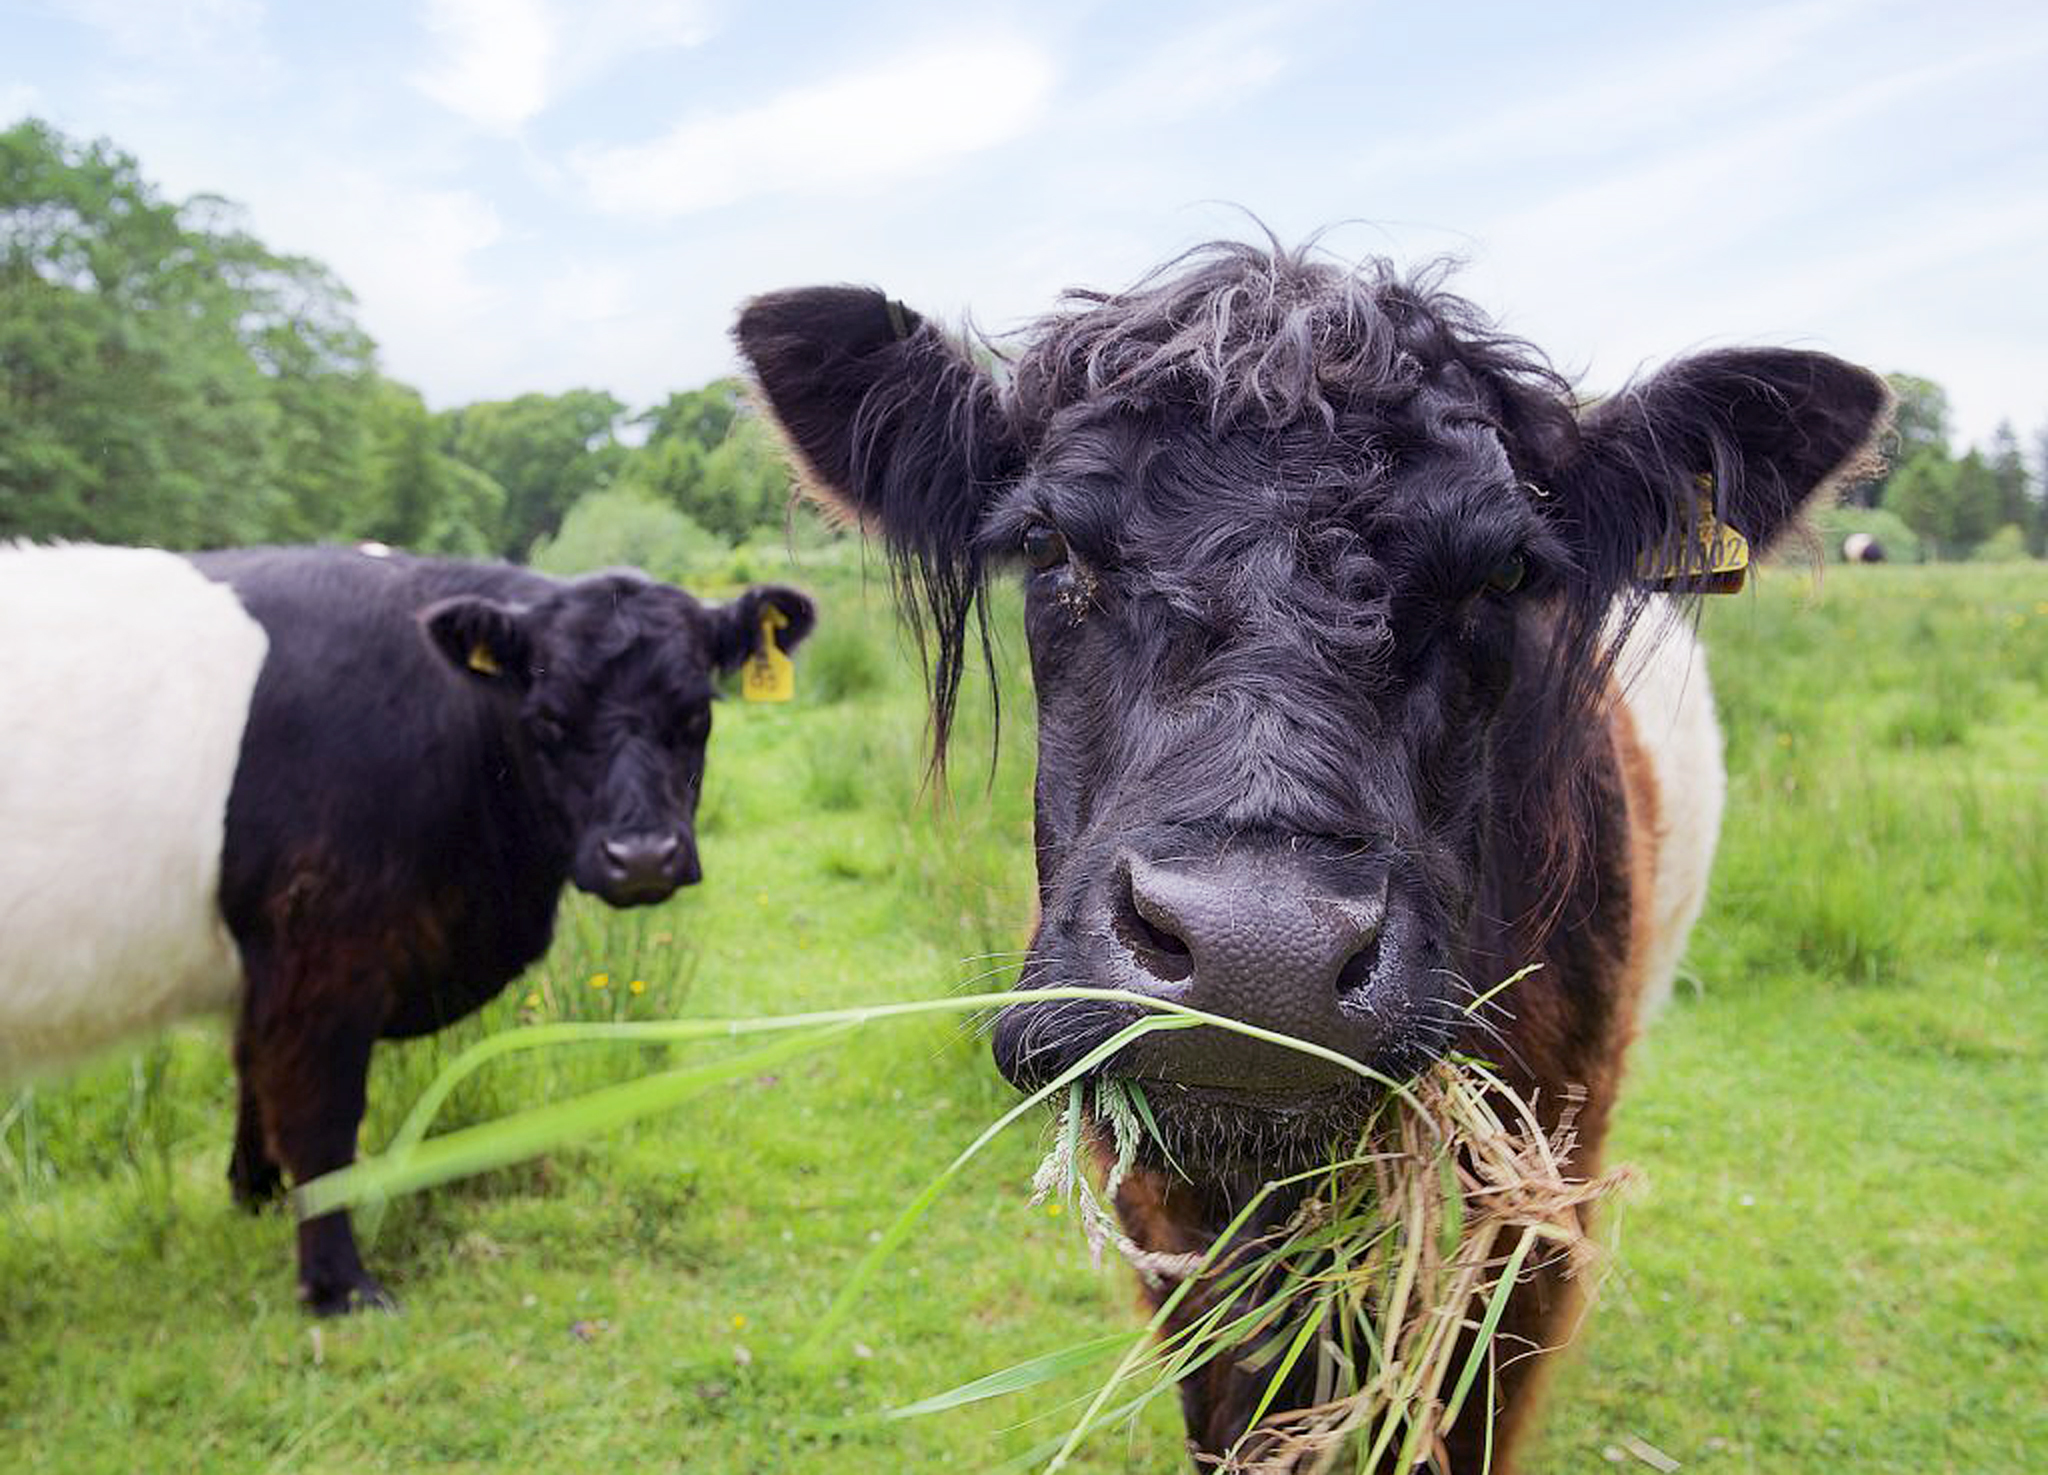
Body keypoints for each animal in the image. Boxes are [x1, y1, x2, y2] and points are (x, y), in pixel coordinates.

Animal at [0, 543, 814, 1313]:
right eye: (547, 718)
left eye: (699, 713)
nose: (642, 856)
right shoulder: (322, 947)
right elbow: (321, 1115)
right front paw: (338, 1286)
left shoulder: (270, 965)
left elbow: (252, 1072)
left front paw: (255, 1194)